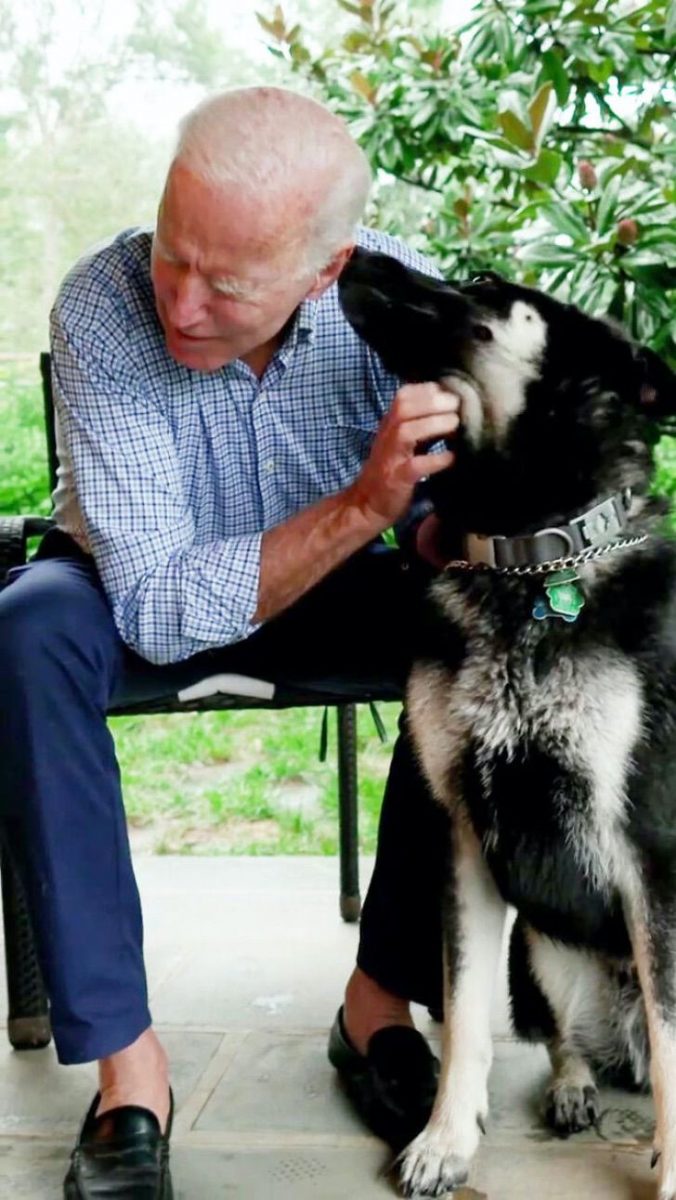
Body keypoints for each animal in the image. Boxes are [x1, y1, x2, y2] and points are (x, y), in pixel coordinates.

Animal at [341, 248, 676, 1195]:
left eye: (485, 285)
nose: (353, 253)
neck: (529, 561)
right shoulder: (461, 838)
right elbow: (461, 1014)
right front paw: (446, 1140)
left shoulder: (648, 853)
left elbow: (675, 1045)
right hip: (541, 948)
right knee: (563, 1038)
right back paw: (572, 1086)